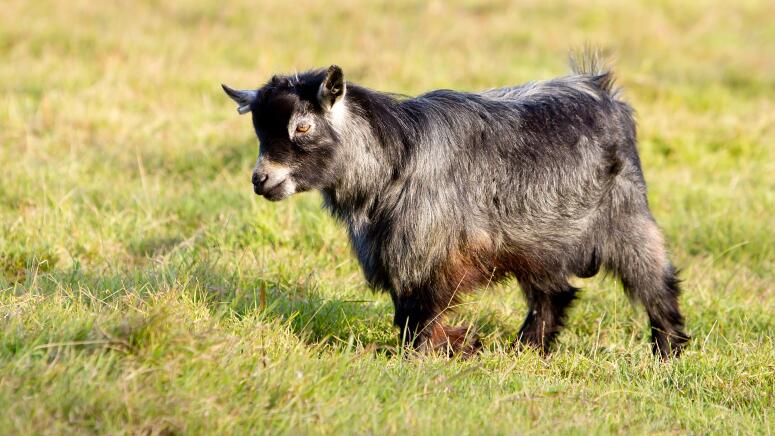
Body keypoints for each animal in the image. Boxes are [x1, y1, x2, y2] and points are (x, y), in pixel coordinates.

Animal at [223, 56, 692, 360]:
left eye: (302, 126)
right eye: (258, 129)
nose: (261, 179)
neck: (394, 157)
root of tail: (602, 89)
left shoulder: (433, 251)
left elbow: (421, 311)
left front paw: (438, 351)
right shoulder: (398, 253)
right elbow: (406, 311)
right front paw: (458, 346)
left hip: (626, 218)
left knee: (655, 280)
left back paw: (668, 350)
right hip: (539, 239)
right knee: (554, 293)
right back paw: (527, 350)